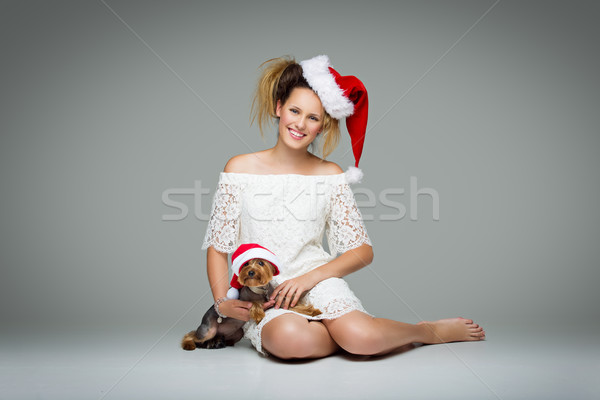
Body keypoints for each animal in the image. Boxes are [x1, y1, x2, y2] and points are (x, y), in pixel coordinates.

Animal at [180, 258, 322, 352]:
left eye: (261, 263)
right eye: (246, 264)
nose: (251, 272)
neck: (261, 290)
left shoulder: (278, 301)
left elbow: (295, 306)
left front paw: (314, 311)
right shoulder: (241, 301)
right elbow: (253, 302)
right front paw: (259, 314)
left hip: (238, 333)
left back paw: (217, 342)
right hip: (208, 329)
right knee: (191, 335)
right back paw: (189, 344)